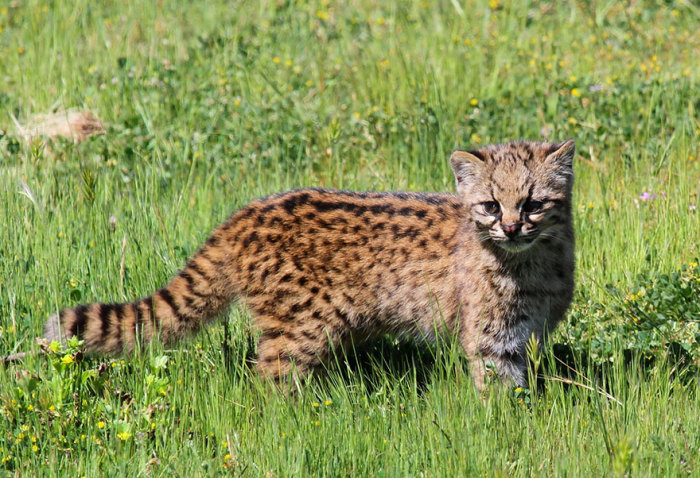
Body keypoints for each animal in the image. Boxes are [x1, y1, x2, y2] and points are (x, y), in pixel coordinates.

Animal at [42, 140, 576, 390]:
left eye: (533, 204)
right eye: (490, 205)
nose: (511, 228)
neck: (529, 261)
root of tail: (245, 213)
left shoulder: (521, 339)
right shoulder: (491, 340)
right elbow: (498, 393)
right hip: (300, 325)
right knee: (270, 379)